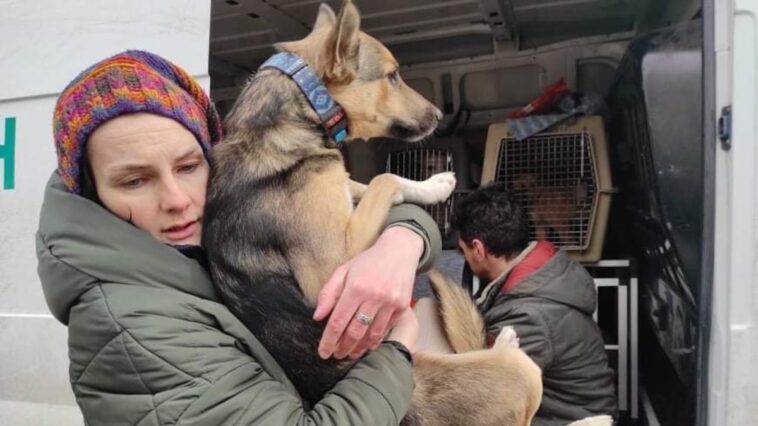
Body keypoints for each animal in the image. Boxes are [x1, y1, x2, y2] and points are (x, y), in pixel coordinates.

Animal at [205, 1, 544, 424]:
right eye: (393, 76)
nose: (438, 113)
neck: (295, 110)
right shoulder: (331, 269)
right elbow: (383, 178)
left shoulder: (343, 187)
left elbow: (371, 182)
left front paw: (435, 185)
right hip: (516, 375)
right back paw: (509, 342)